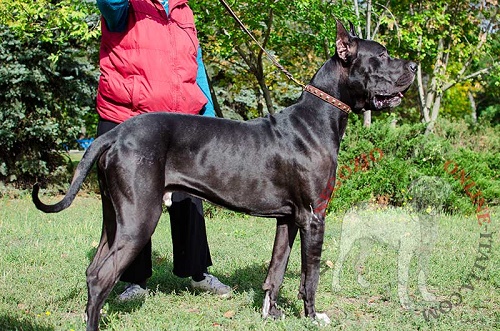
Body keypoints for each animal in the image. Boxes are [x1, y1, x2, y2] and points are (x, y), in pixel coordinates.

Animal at [33, 22, 416, 330]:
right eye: (383, 55)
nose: (414, 65)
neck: (318, 117)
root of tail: (114, 134)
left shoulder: (288, 218)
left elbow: (276, 269)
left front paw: (271, 313)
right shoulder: (313, 217)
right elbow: (311, 276)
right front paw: (312, 316)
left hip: (114, 219)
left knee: (92, 270)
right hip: (139, 217)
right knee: (101, 278)